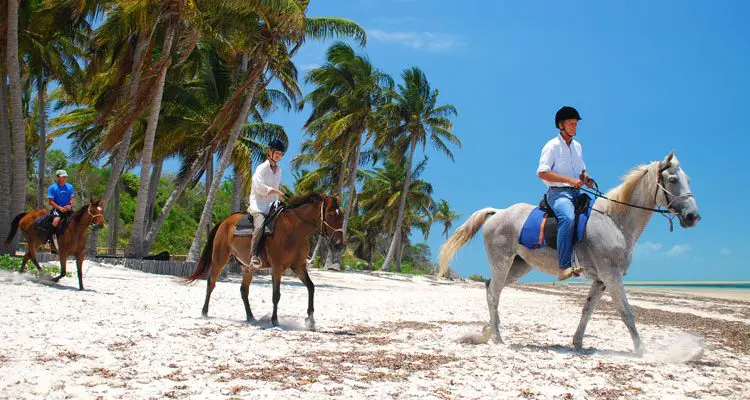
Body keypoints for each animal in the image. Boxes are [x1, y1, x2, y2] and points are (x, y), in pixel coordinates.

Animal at [184, 193, 345, 330]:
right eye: (331, 215)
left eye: (342, 216)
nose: (339, 245)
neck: (294, 230)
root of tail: (225, 221)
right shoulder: (277, 267)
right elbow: (276, 295)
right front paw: (275, 320)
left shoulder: (298, 267)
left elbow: (311, 287)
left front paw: (310, 320)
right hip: (220, 259)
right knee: (211, 283)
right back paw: (204, 312)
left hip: (247, 267)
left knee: (243, 290)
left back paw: (251, 317)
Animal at [438, 152, 700, 354]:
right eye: (673, 179)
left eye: (688, 179)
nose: (693, 216)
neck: (615, 220)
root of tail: (498, 212)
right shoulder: (612, 276)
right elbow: (626, 312)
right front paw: (642, 350)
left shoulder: (600, 280)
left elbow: (587, 310)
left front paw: (578, 342)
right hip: (502, 262)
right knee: (494, 294)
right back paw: (498, 338)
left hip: (518, 266)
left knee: (490, 287)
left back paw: (489, 330)